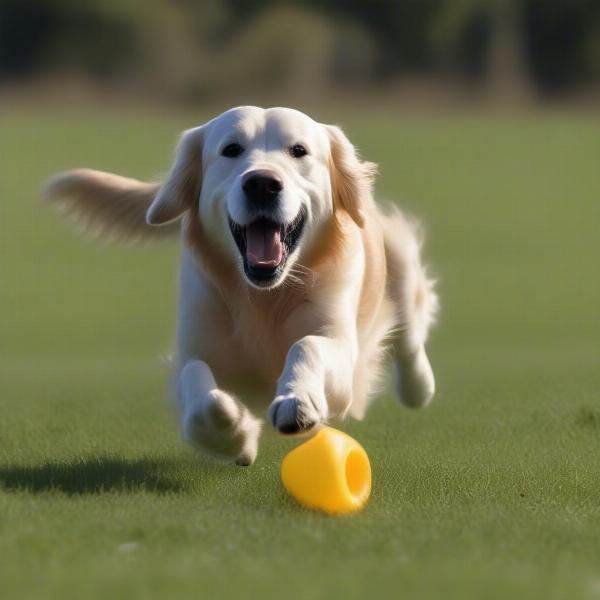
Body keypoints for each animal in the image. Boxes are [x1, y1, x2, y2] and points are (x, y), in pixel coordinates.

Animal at [47, 105, 438, 466]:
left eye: (298, 150)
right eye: (231, 149)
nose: (262, 183)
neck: (263, 297)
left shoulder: (339, 352)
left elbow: (307, 345)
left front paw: (296, 400)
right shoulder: (197, 343)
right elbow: (194, 379)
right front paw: (231, 428)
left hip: (397, 255)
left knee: (410, 335)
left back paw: (418, 386)